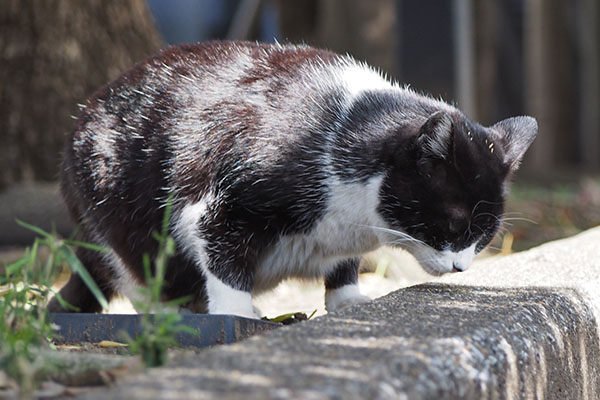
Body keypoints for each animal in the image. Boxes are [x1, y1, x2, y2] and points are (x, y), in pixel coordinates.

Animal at [50, 41, 540, 318]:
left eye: (486, 236)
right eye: (455, 223)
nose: (462, 267)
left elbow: (343, 267)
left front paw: (349, 302)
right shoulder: (220, 202)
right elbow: (223, 256)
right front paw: (236, 315)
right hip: (115, 210)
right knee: (143, 275)